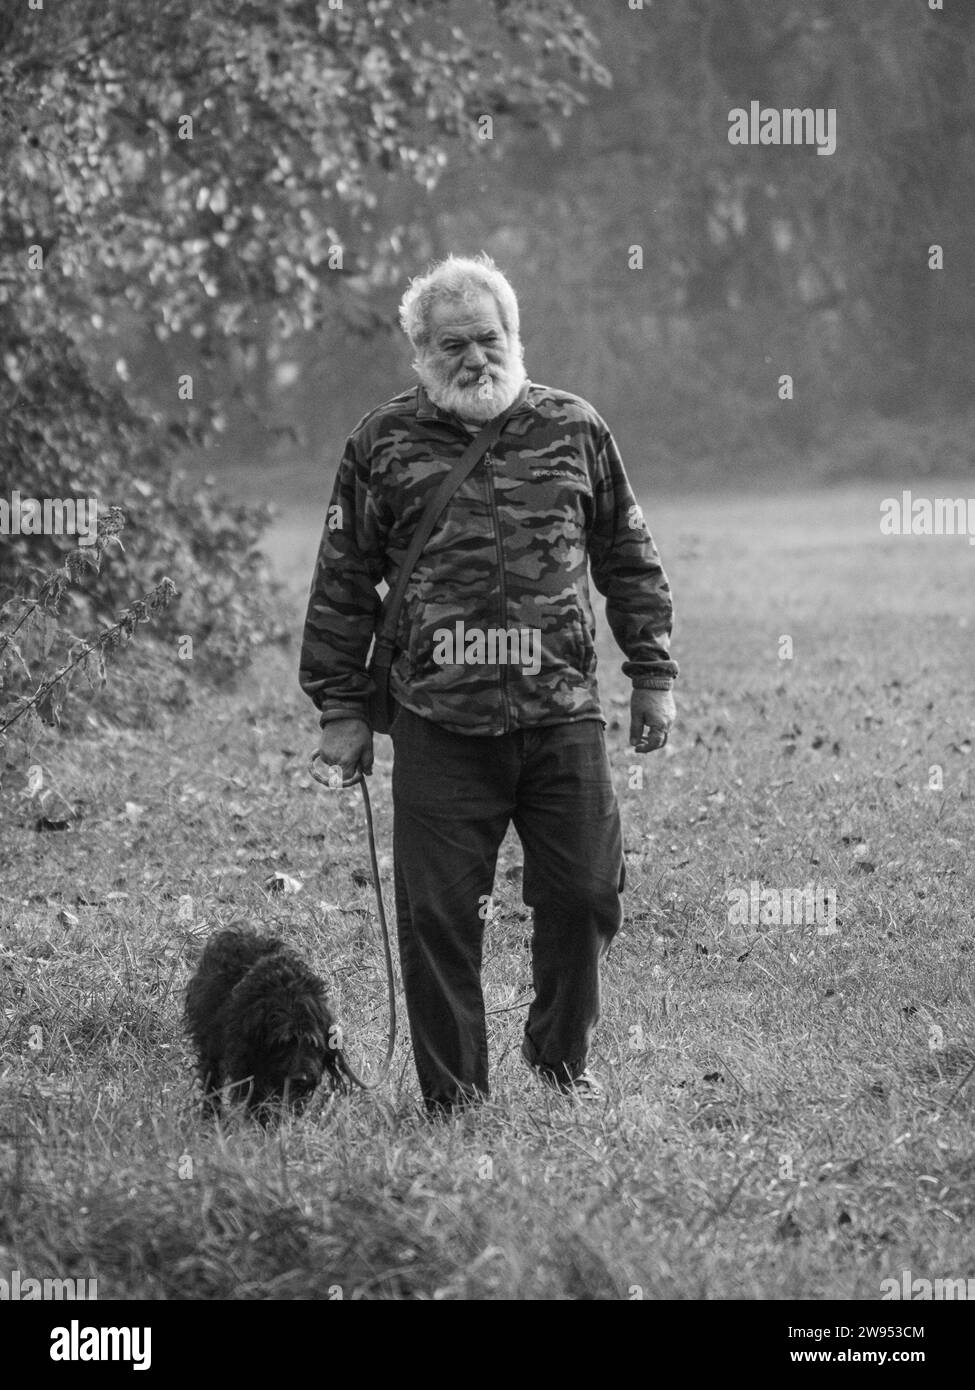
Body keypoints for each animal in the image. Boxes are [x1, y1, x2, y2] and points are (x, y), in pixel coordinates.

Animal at [184, 928, 347, 1123]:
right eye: (283, 1043)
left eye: (312, 1043)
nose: (301, 1078)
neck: (289, 998)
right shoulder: (251, 1064)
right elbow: (257, 1097)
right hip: (212, 1039)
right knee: (212, 1075)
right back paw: (210, 1115)